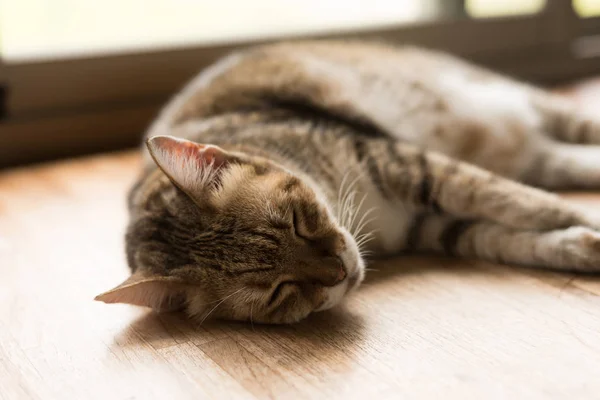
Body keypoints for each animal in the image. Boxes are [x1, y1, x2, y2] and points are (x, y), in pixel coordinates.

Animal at [95, 39, 600, 324]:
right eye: (279, 292)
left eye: (297, 222)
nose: (340, 271)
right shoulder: (428, 225)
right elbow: (505, 237)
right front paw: (578, 245)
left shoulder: (406, 163)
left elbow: (519, 201)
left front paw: (584, 222)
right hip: (539, 154)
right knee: (563, 160)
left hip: (524, 102)